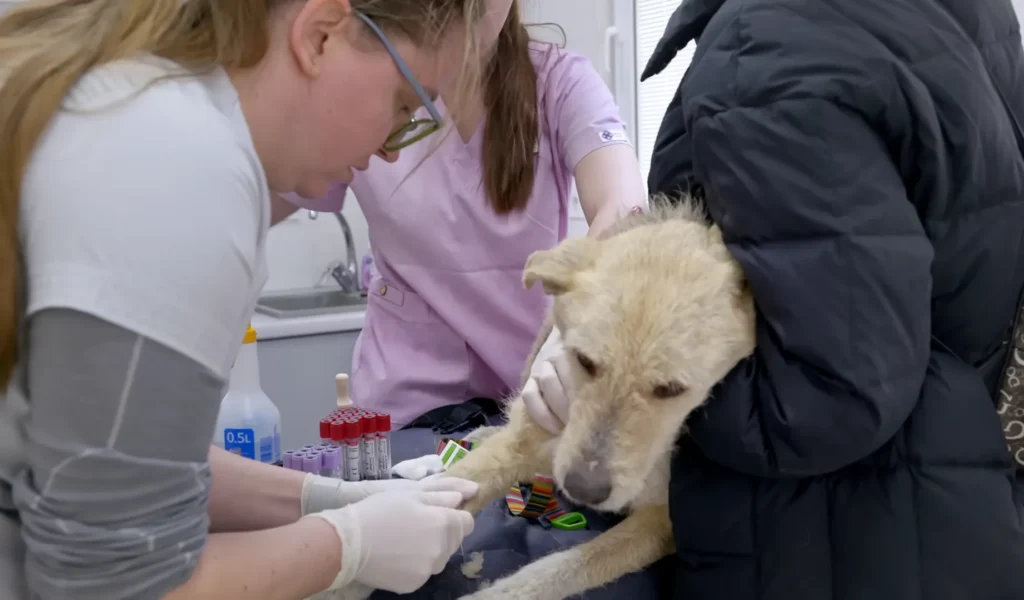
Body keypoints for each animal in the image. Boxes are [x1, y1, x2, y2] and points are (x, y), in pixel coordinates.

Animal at [444, 196, 757, 597]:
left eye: (673, 389)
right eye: (584, 361)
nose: (583, 489)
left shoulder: (662, 522)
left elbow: (560, 569)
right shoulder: (532, 435)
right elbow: (455, 485)